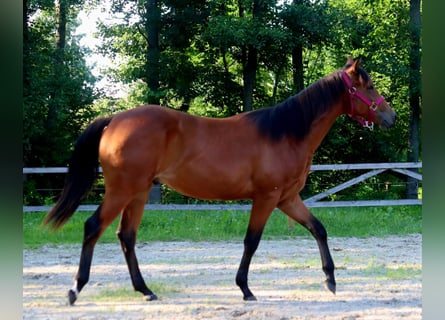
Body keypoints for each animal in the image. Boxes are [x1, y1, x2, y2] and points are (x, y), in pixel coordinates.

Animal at [42, 56, 396, 304]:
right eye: (369, 87)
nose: (391, 117)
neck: (285, 132)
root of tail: (114, 118)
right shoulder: (267, 197)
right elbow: (252, 241)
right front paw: (245, 288)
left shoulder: (287, 199)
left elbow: (318, 229)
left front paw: (330, 280)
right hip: (122, 190)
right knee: (93, 228)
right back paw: (75, 289)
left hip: (138, 193)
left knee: (126, 236)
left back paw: (145, 290)